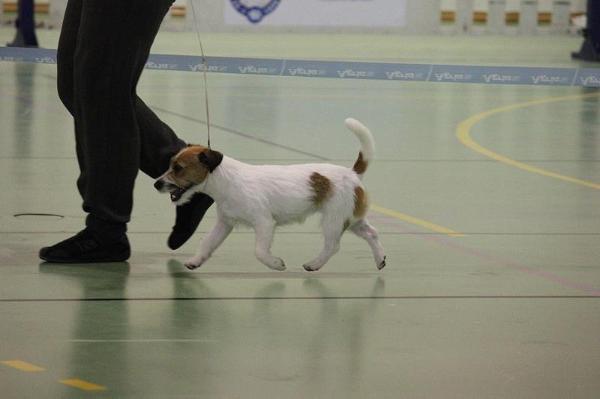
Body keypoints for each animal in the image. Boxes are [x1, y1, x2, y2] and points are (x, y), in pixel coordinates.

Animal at [155, 117, 386, 270]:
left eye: (178, 168)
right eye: (171, 164)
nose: (157, 184)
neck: (227, 181)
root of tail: (352, 173)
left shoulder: (264, 223)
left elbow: (259, 251)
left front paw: (275, 264)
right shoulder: (224, 223)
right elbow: (208, 243)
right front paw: (195, 261)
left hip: (334, 220)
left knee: (333, 246)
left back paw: (314, 264)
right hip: (352, 219)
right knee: (372, 233)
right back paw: (380, 259)